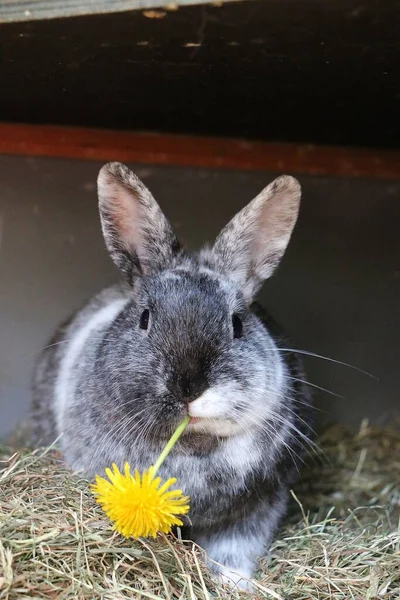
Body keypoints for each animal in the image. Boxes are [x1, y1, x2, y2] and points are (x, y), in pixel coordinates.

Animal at [32, 163, 312, 592]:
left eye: (237, 324)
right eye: (145, 318)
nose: (189, 388)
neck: (190, 447)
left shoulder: (256, 510)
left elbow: (234, 553)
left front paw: (233, 585)